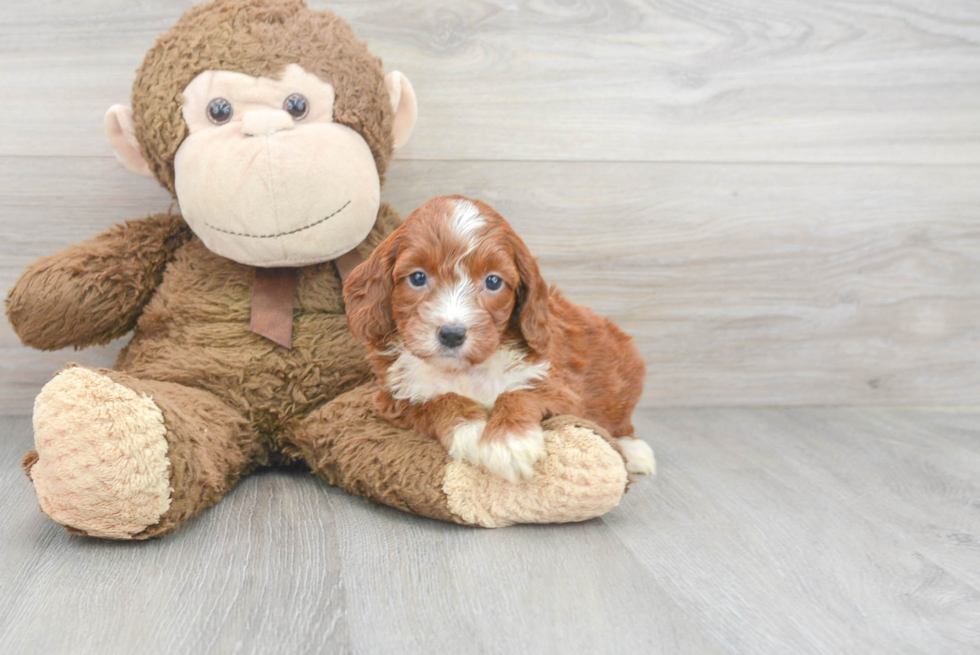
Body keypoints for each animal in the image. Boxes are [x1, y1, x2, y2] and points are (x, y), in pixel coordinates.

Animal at [340, 195, 656, 482]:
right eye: (418, 278)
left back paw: (635, 452)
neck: (465, 370)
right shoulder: (395, 398)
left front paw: (509, 442)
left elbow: (519, 392)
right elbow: (438, 399)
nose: (452, 334)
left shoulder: (563, 393)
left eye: (493, 281)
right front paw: (471, 429)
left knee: (620, 421)